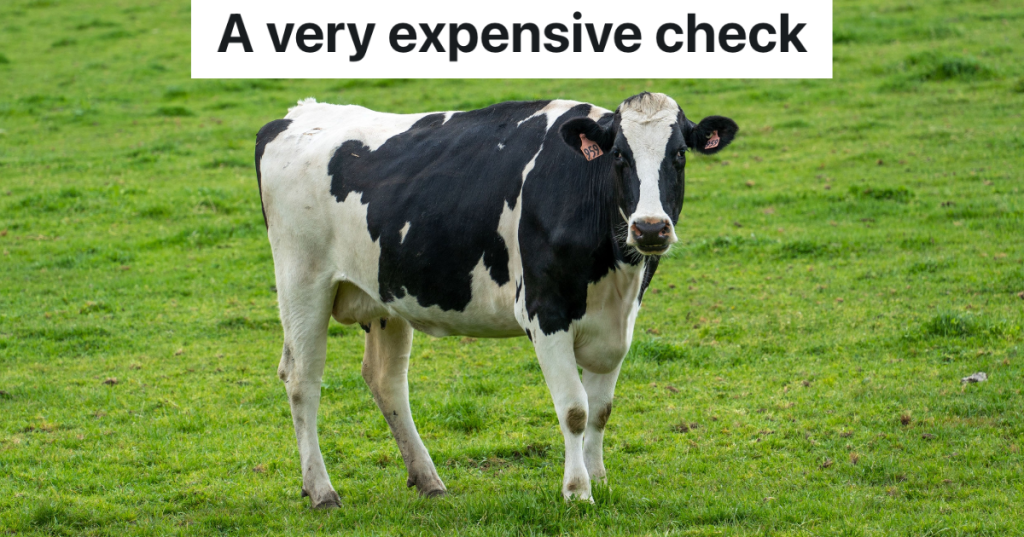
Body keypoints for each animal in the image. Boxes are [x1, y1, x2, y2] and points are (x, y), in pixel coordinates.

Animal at [255, 92, 737, 508]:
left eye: (679, 154)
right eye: (619, 155)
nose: (650, 228)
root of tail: (298, 113)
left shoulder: (619, 321)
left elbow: (600, 410)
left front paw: (599, 480)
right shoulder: (545, 312)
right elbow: (575, 410)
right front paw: (577, 491)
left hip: (385, 296)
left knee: (385, 379)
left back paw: (428, 480)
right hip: (302, 279)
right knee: (302, 379)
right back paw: (321, 491)